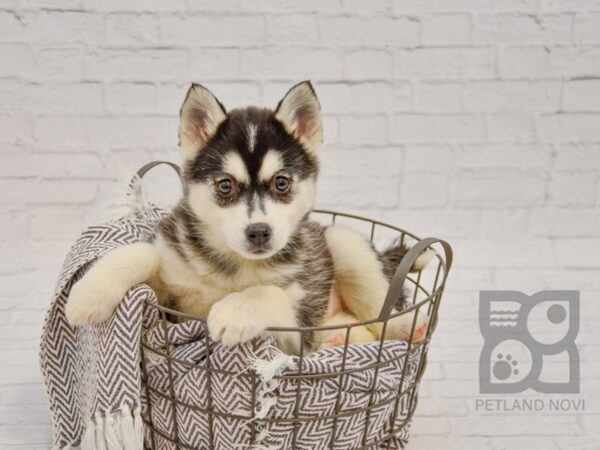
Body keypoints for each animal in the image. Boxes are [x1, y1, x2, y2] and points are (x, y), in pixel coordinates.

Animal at [65, 81, 432, 356]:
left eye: (281, 183)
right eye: (225, 185)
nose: (259, 232)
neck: (234, 269)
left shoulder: (294, 335)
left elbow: (267, 293)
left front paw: (235, 309)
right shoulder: (170, 304)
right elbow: (140, 252)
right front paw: (88, 294)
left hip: (345, 243)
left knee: (377, 314)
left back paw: (404, 327)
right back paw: (340, 337)